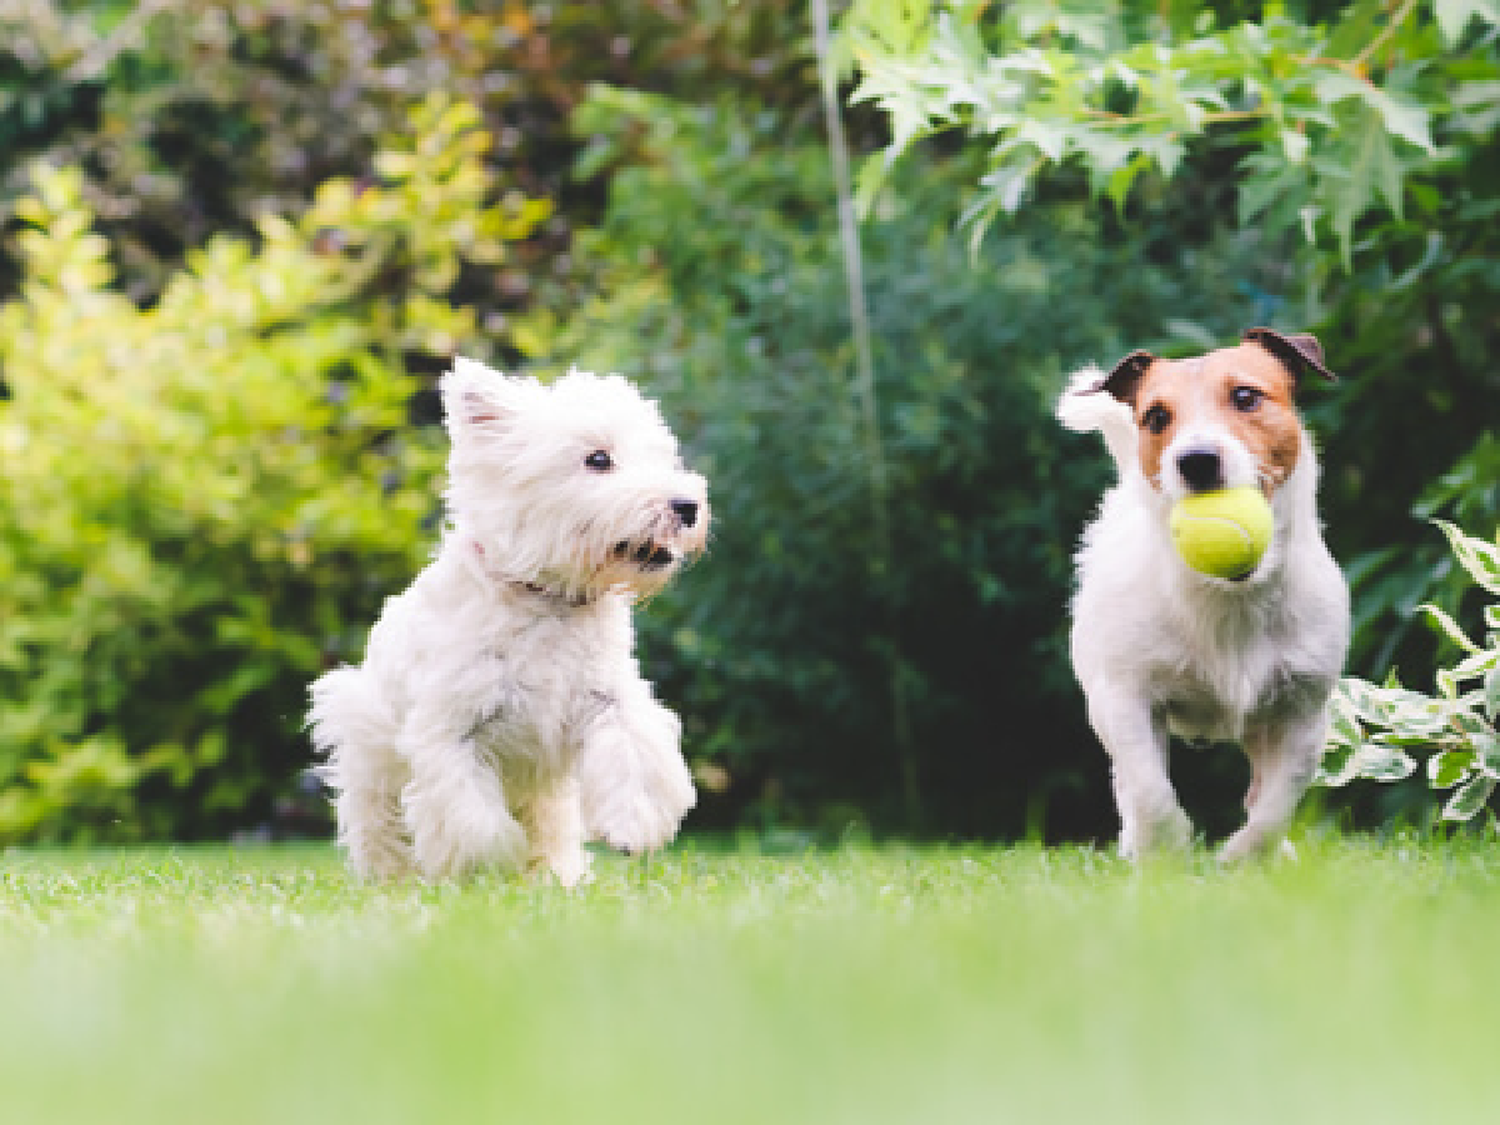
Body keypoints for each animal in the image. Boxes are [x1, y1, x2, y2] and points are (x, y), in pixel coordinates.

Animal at [307, 361, 711, 888]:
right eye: (598, 458)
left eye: (663, 455)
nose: (687, 506)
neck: (547, 599)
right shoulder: (451, 729)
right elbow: (474, 821)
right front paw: (489, 867)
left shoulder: (607, 696)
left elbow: (634, 752)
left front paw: (632, 827)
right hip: (366, 747)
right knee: (379, 825)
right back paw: (395, 876)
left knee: (549, 830)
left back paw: (556, 875)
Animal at [1056, 325, 1350, 864]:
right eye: (1156, 417)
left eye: (1246, 396)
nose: (1196, 461)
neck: (1229, 595)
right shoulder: (1128, 699)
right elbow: (1150, 789)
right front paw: (1168, 847)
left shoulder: (1303, 710)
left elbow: (1278, 802)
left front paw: (1244, 855)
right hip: (1102, 700)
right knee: (1128, 782)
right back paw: (1137, 845)